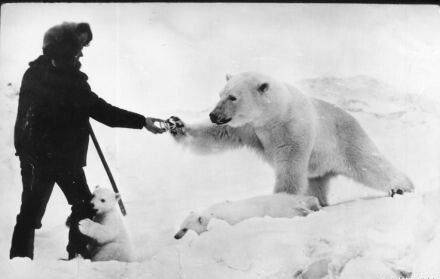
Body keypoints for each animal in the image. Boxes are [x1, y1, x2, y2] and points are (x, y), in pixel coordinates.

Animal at [168, 71, 412, 206]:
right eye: (220, 94)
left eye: (233, 97)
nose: (213, 114)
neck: (273, 116)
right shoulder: (248, 128)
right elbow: (216, 135)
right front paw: (176, 124)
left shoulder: (292, 129)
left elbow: (290, 166)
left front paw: (280, 201)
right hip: (319, 167)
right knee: (315, 183)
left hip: (346, 140)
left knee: (370, 165)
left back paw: (402, 188)